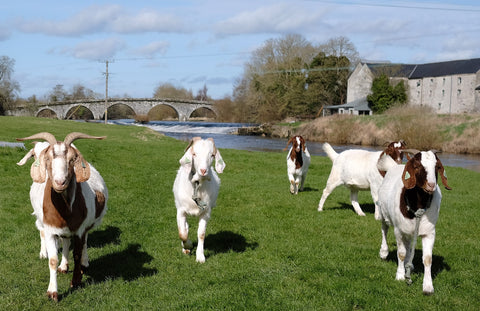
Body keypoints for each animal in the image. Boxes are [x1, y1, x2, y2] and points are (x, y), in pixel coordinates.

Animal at [16, 132, 108, 302]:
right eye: (47, 158)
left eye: (72, 159)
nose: (60, 182)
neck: (64, 210)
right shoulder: (50, 229)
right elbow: (52, 260)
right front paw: (53, 292)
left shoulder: (80, 230)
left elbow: (77, 253)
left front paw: (76, 280)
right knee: (64, 241)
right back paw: (63, 265)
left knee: (83, 242)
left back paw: (84, 263)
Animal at [378, 151, 450, 294]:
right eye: (416, 166)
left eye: (437, 167)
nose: (431, 185)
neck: (418, 205)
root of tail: (394, 166)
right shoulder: (399, 231)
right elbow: (401, 253)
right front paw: (400, 275)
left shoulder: (429, 232)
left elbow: (427, 259)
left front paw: (428, 287)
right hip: (384, 213)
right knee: (384, 229)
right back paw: (384, 252)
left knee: (409, 244)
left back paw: (408, 264)